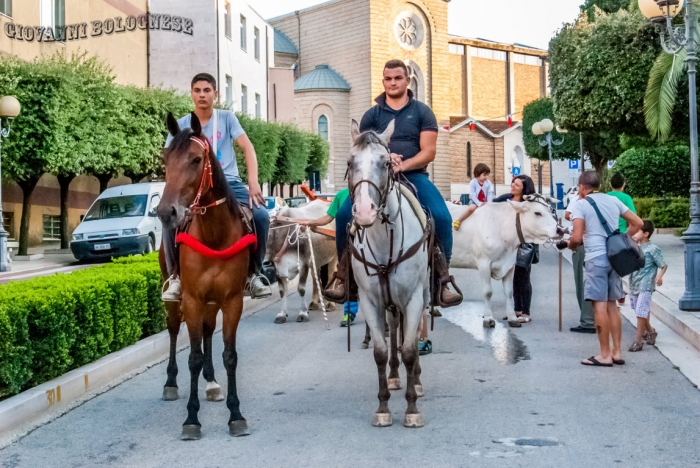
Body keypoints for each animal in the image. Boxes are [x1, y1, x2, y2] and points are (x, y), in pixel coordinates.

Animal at [156, 111, 252, 440]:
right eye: (165, 158)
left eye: (197, 159)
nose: (165, 212)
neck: (214, 234)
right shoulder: (193, 299)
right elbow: (193, 356)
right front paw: (191, 418)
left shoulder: (232, 299)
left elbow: (230, 355)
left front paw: (236, 414)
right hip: (177, 300)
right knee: (174, 330)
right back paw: (171, 383)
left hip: (214, 301)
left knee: (209, 332)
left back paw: (211, 383)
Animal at [348, 119, 430, 428]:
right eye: (350, 162)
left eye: (385, 163)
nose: (364, 211)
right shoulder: (370, 302)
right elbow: (381, 352)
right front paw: (383, 407)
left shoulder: (414, 298)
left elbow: (409, 349)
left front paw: (412, 408)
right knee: (394, 329)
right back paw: (396, 377)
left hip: (422, 296)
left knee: (413, 334)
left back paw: (415, 380)